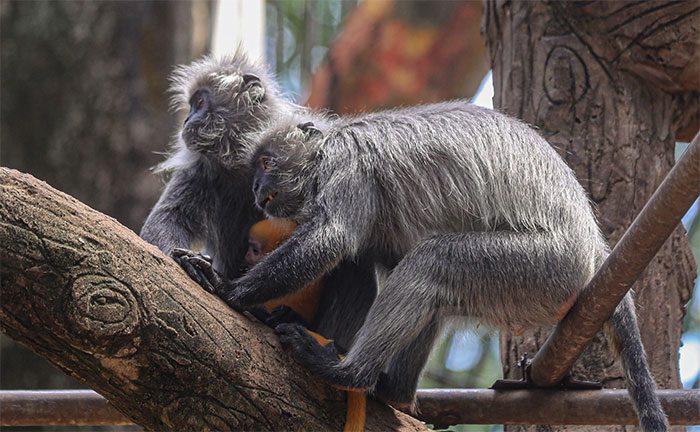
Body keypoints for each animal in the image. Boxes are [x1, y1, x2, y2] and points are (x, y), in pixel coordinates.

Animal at [138, 52, 378, 352]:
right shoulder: (203, 168)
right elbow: (169, 219)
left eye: (200, 103)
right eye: (191, 105)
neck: (243, 163)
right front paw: (185, 260)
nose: (186, 120)